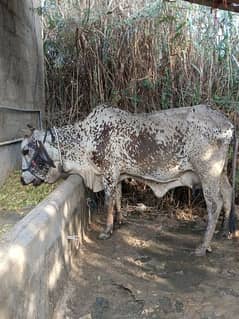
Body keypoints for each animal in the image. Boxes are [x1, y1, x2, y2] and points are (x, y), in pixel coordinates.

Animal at [20, 105, 235, 258]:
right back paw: (224, 232)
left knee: (215, 204)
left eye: (25, 150)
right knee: (228, 194)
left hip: (208, 174)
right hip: (220, 174)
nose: (22, 179)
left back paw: (203, 246)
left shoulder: (108, 173)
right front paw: (120, 220)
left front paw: (107, 231)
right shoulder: (118, 175)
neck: (86, 139)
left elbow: (108, 201)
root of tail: (227, 123)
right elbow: (118, 197)